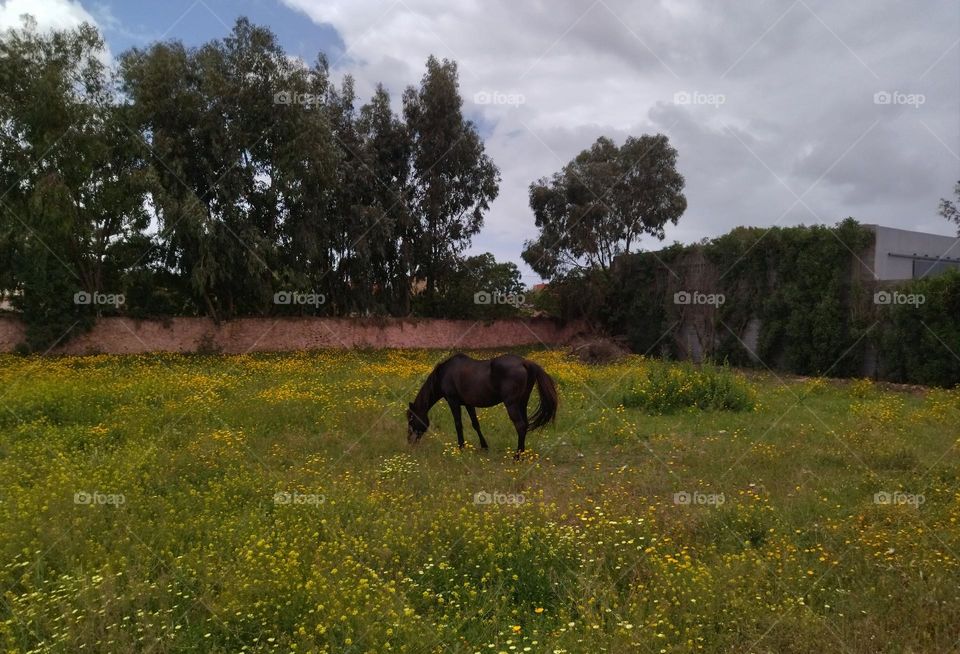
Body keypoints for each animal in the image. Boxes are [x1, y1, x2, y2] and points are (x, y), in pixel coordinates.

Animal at [406, 354, 560, 462]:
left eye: (411, 419)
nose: (410, 442)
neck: (445, 373)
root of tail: (525, 362)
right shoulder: (469, 404)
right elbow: (475, 424)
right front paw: (484, 447)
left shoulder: (453, 401)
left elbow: (458, 424)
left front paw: (461, 449)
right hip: (522, 402)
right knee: (525, 425)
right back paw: (522, 454)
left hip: (512, 404)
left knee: (521, 426)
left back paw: (516, 457)